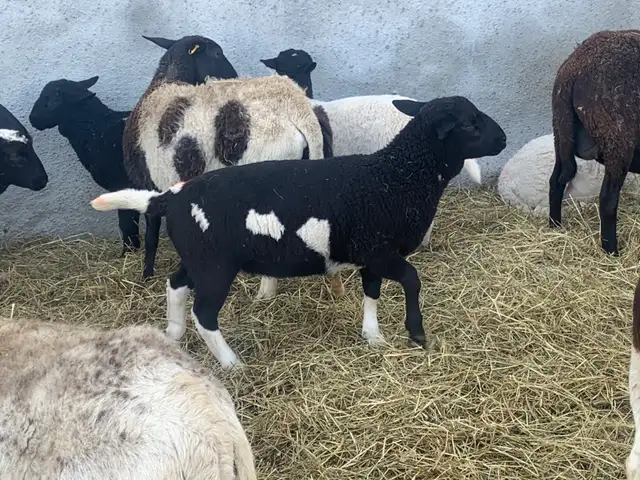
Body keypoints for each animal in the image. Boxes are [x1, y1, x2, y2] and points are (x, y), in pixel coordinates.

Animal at [28, 75, 149, 258]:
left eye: (54, 99)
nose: (32, 119)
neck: (98, 133)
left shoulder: (123, 186)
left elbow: (126, 223)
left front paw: (126, 253)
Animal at [90, 95, 507, 369]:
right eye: (468, 123)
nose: (503, 138)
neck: (397, 176)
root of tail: (170, 197)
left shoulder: (371, 254)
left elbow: (371, 292)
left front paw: (373, 336)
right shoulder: (381, 251)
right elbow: (412, 280)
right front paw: (416, 334)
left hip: (198, 258)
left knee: (175, 287)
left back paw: (174, 335)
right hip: (215, 267)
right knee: (204, 313)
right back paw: (231, 363)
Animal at [549, 29, 640, 255]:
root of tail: (573, 69)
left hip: (560, 131)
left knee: (557, 179)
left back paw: (554, 226)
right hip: (617, 139)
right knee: (607, 199)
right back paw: (611, 251)